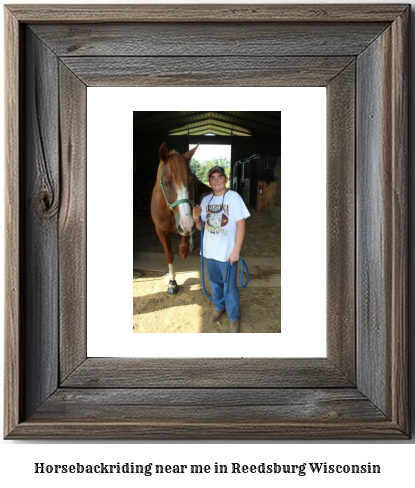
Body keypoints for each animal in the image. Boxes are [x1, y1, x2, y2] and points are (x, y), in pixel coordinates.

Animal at [151, 141, 211, 294]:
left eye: (191, 181)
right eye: (166, 182)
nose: (186, 225)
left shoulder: (187, 221)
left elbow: (183, 243)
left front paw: (184, 250)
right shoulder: (160, 230)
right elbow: (169, 255)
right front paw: (172, 283)